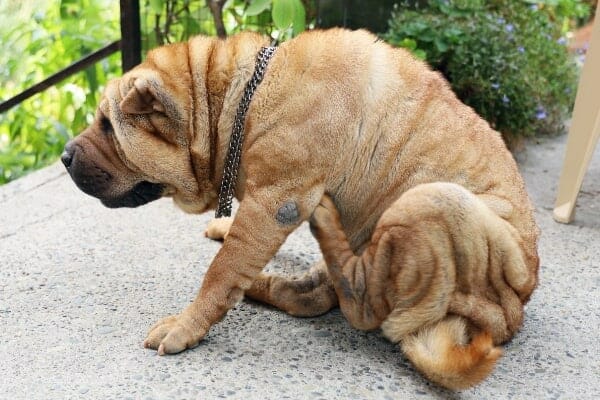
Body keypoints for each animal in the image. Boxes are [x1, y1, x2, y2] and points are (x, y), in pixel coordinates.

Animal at [62, 28, 540, 390]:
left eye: (108, 126)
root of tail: (509, 314)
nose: (65, 155)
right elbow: (233, 258)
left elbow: (221, 271)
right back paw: (260, 278)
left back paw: (321, 229)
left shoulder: (277, 203)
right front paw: (224, 230)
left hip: (433, 199)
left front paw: (184, 326)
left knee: (358, 301)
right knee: (309, 296)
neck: (245, 99)